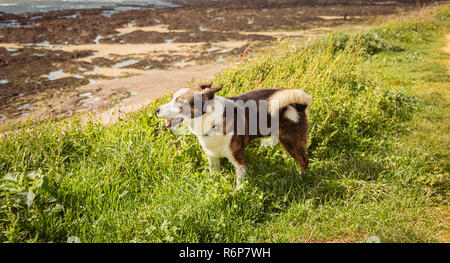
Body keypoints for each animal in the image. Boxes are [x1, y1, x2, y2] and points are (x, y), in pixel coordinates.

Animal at [156, 83, 312, 187]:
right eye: (172, 98)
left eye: (179, 103)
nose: (157, 109)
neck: (211, 121)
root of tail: (299, 103)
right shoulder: (212, 158)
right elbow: (214, 176)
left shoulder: (238, 159)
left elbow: (239, 181)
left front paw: (238, 192)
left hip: (290, 142)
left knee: (303, 160)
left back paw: (302, 179)